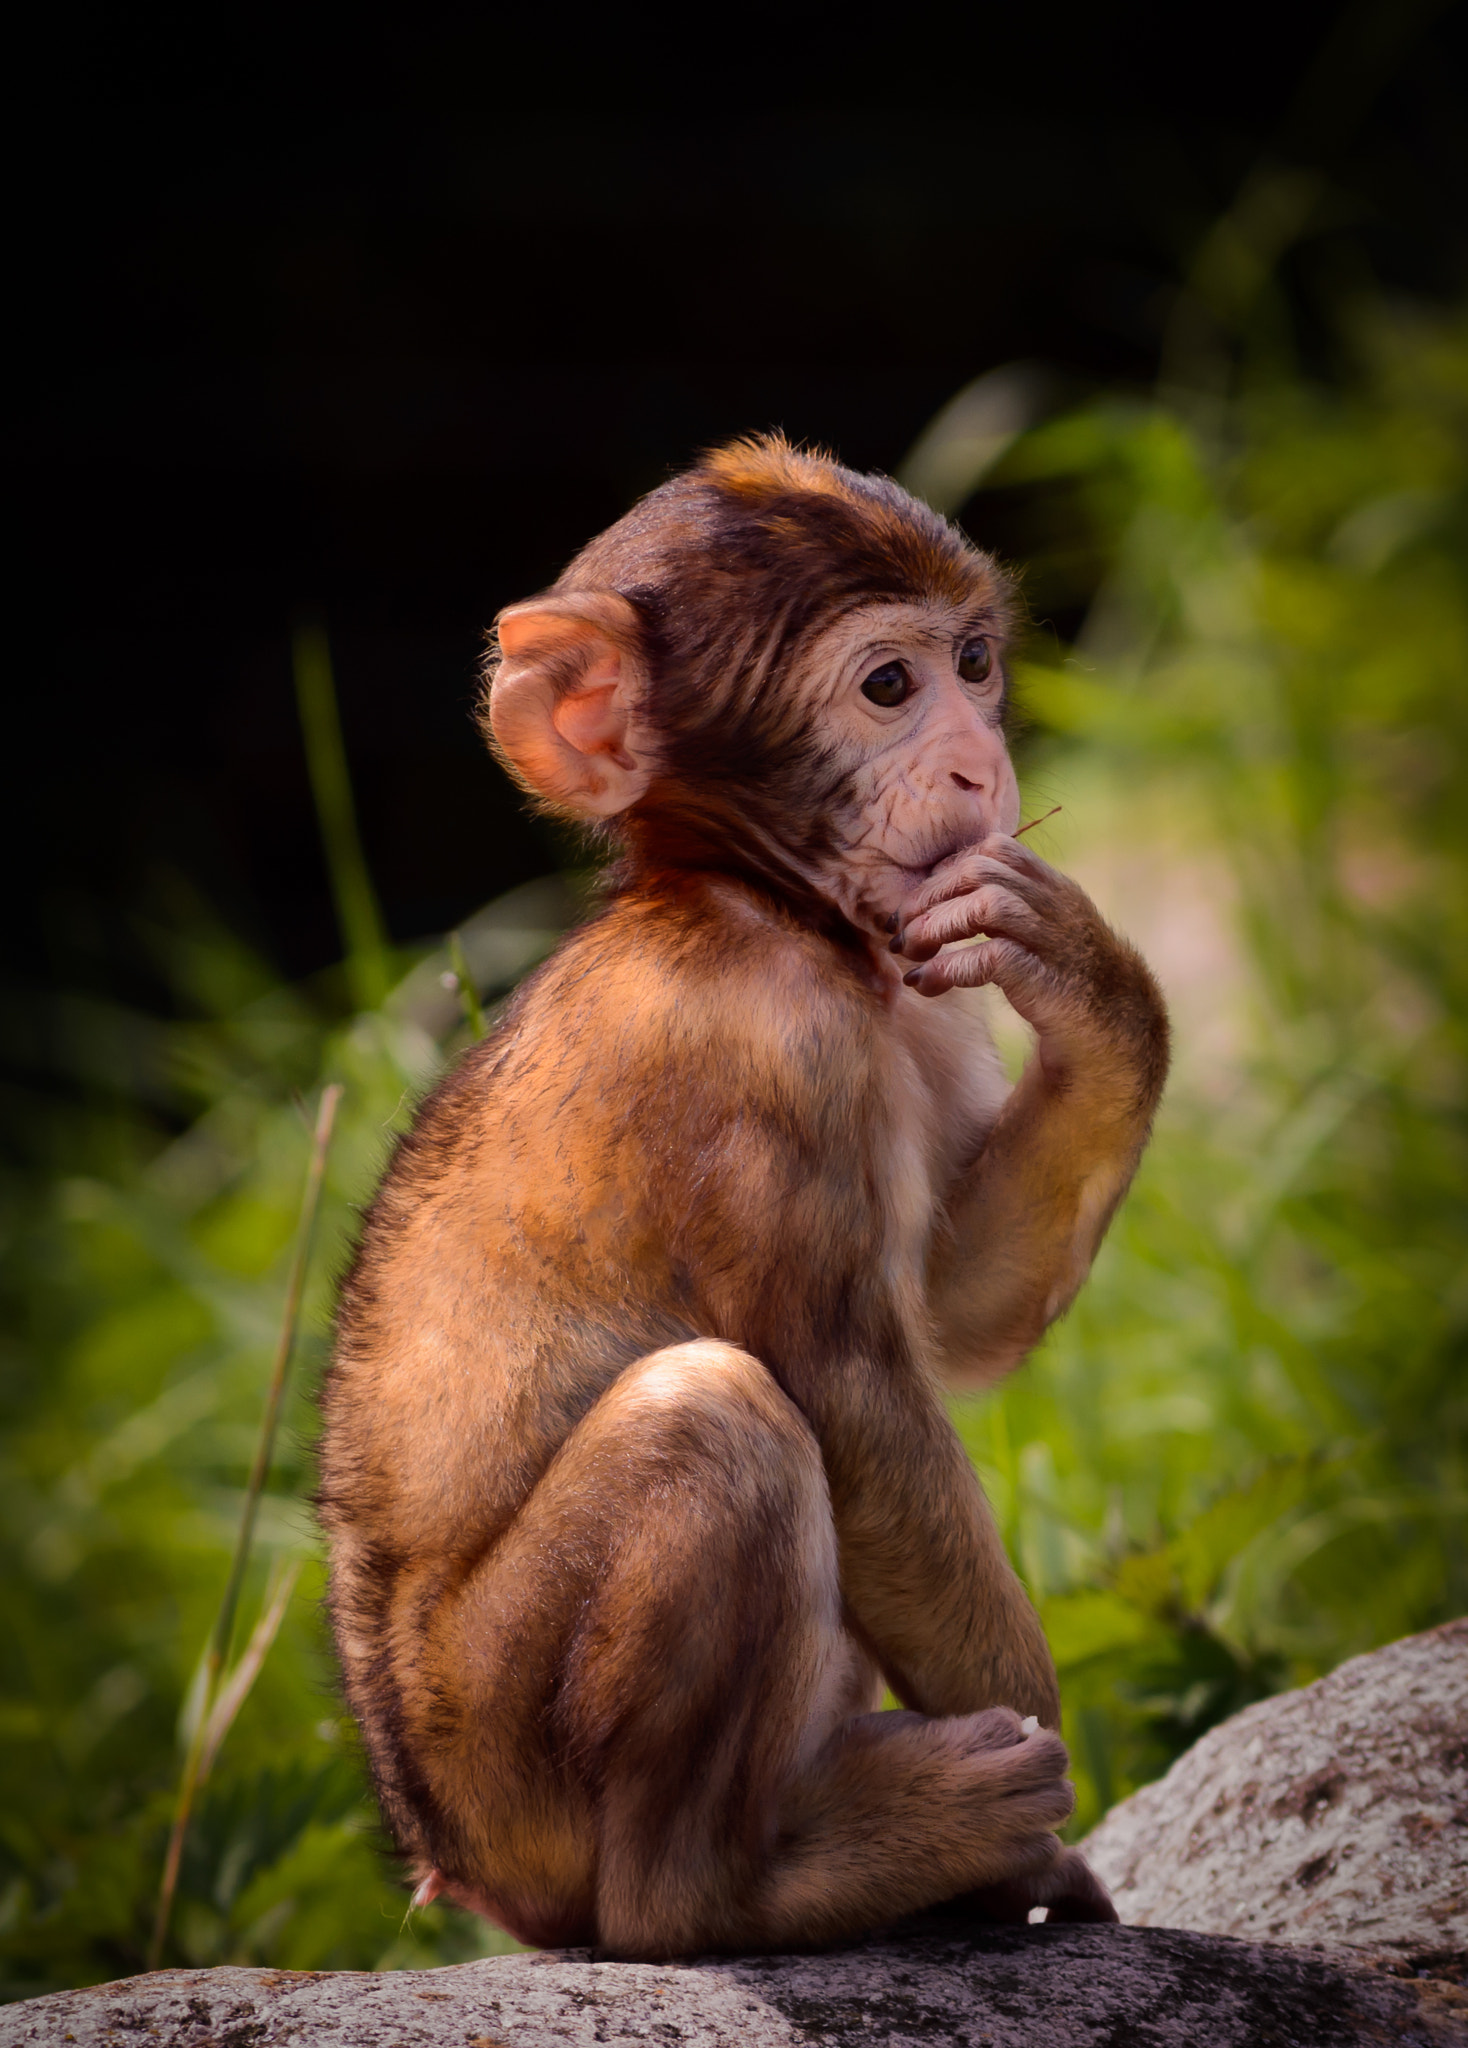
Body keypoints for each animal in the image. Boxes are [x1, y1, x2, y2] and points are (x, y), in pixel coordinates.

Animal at [321, 432, 1171, 1949]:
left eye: (974, 660)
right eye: (889, 685)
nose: (982, 762)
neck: (757, 901)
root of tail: (453, 1858)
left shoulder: (914, 991)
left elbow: (958, 1313)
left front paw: (1086, 972)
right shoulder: (762, 1050)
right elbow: (848, 1388)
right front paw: (1033, 1787)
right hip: (505, 1758)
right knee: (715, 1418)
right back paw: (754, 1883)